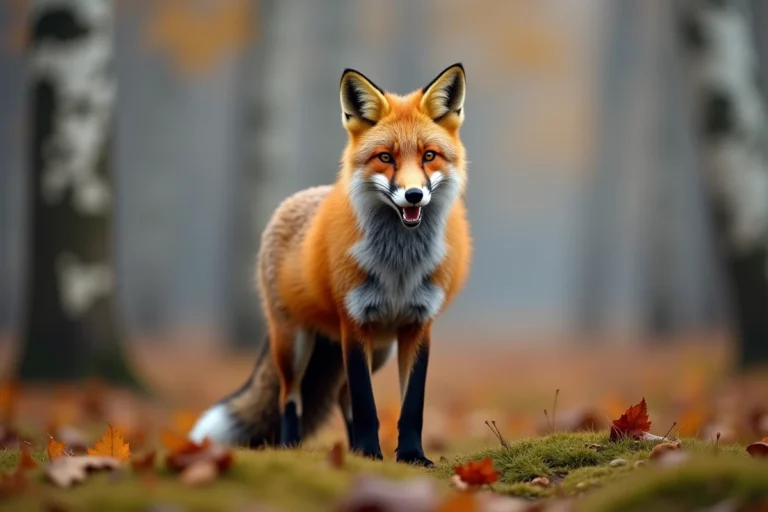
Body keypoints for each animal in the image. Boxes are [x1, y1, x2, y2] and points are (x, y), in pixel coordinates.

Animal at [189, 63, 472, 467]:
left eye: (429, 156)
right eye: (386, 158)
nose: (414, 195)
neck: (399, 266)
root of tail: (296, 197)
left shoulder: (419, 325)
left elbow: (411, 406)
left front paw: (411, 456)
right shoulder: (354, 321)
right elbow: (367, 404)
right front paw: (370, 451)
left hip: (377, 348)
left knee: (341, 396)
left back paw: (353, 450)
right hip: (294, 343)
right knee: (291, 397)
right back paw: (292, 448)